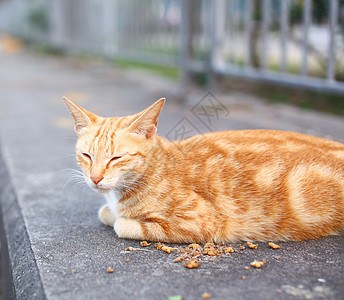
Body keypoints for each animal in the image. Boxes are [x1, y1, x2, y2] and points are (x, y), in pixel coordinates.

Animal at [63, 97, 344, 243]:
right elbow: (105, 212)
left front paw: (119, 218)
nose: (95, 178)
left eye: (116, 158)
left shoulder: (203, 223)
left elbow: (121, 223)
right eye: (86, 155)